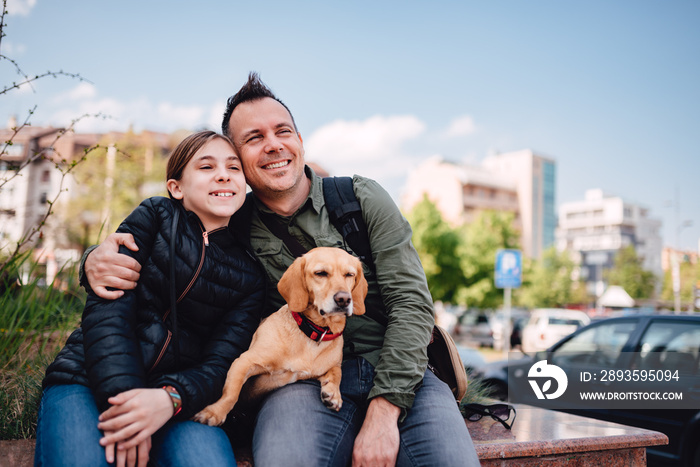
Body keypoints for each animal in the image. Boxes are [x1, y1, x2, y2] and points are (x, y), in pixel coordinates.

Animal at [191, 249, 366, 428]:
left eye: (349, 274)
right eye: (321, 273)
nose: (344, 299)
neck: (314, 333)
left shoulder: (329, 366)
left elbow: (337, 372)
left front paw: (333, 393)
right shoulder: (245, 361)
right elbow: (231, 394)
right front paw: (215, 412)